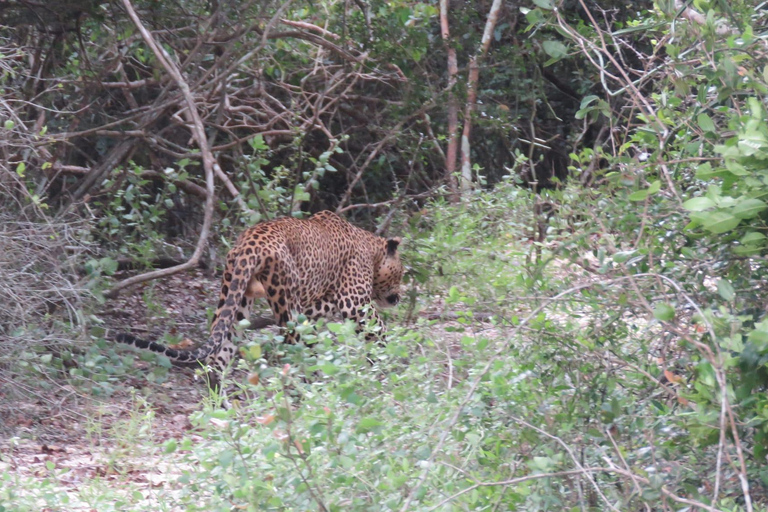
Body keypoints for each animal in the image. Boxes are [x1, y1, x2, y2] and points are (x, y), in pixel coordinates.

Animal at [115, 211, 402, 384]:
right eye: (401, 272)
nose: (398, 297)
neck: (371, 250)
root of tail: (251, 241)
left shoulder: (316, 305)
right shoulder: (354, 302)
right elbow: (378, 329)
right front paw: (391, 359)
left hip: (236, 298)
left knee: (218, 353)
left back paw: (220, 408)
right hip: (285, 303)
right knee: (294, 350)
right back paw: (311, 388)